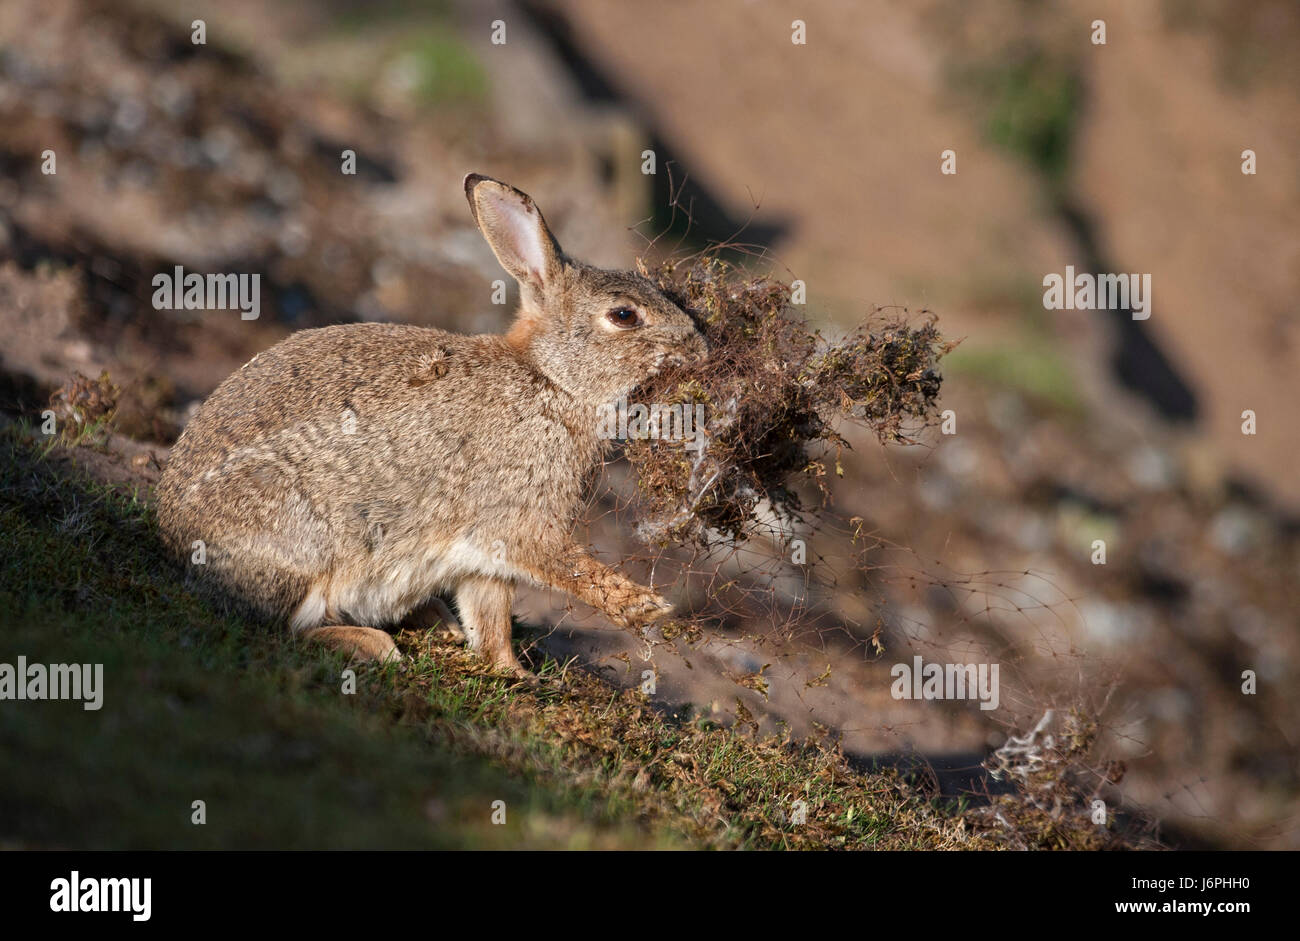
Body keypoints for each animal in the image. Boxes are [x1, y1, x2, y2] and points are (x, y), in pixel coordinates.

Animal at [154, 173, 708, 676]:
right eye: (624, 315)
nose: (698, 346)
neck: (551, 380)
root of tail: (176, 546)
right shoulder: (516, 519)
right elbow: (558, 566)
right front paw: (643, 606)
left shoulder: (483, 555)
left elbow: (491, 617)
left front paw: (512, 673)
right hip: (301, 539)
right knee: (285, 627)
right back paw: (373, 644)